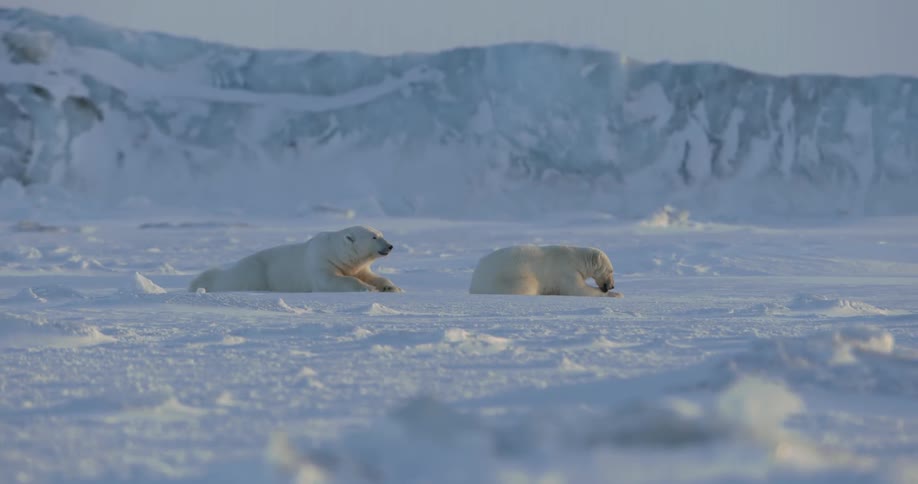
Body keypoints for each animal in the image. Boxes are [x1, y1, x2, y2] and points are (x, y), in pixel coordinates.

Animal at [189, 225, 403, 293]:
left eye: (381, 234)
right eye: (374, 237)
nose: (390, 246)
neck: (337, 251)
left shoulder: (356, 266)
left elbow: (371, 275)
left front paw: (391, 287)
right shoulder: (320, 260)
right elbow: (330, 281)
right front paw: (368, 289)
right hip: (254, 273)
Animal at [469, 245, 619, 297]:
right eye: (611, 271)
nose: (612, 286)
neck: (577, 259)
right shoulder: (566, 270)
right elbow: (577, 289)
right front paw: (616, 294)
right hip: (507, 277)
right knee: (528, 285)